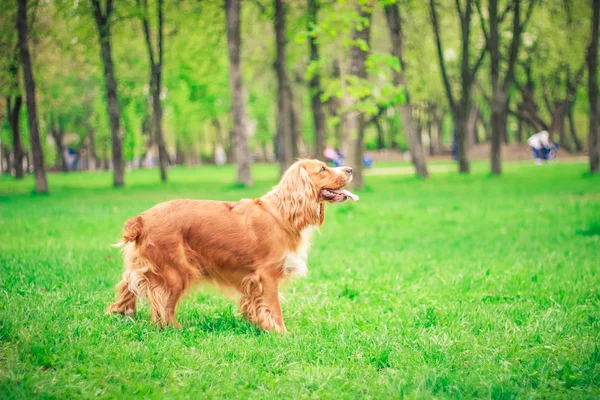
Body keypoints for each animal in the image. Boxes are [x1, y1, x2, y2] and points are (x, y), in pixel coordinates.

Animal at [106, 159, 358, 332]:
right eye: (323, 169)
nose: (350, 169)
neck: (282, 212)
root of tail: (142, 218)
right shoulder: (267, 275)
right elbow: (274, 307)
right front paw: (281, 332)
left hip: (146, 266)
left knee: (128, 284)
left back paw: (121, 312)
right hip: (174, 272)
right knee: (162, 307)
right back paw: (175, 329)